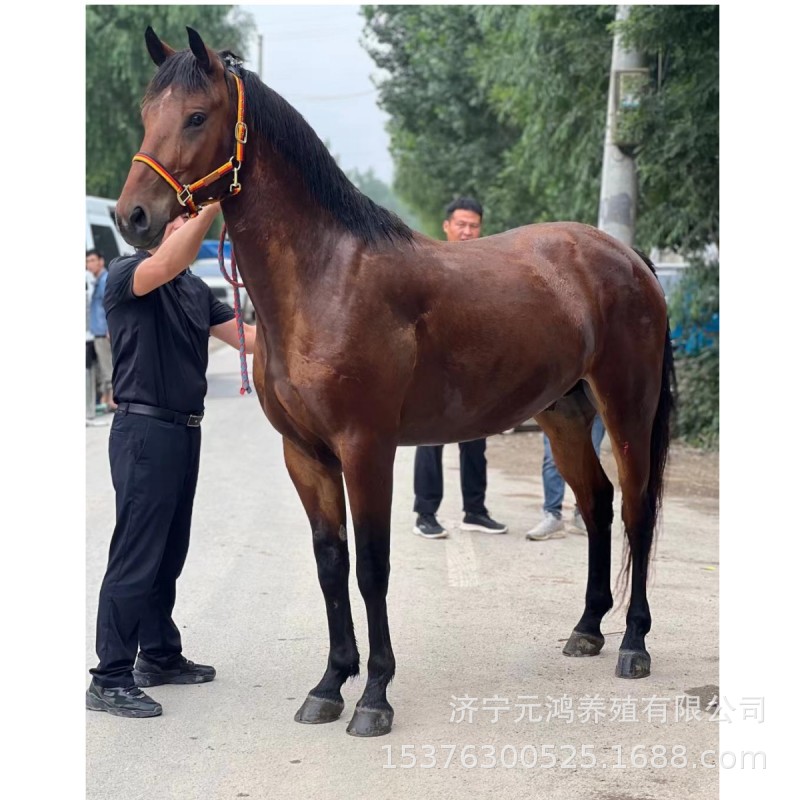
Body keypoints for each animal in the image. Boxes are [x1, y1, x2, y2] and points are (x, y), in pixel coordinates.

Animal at [114, 26, 676, 736]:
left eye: (195, 116)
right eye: (144, 114)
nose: (132, 217)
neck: (326, 278)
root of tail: (628, 257)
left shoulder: (367, 447)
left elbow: (372, 567)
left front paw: (375, 696)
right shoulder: (305, 454)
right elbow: (331, 566)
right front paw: (329, 685)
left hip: (627, 407)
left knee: (635, 509)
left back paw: (634, 643)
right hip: (564, 411)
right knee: (598, 504)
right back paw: (587, 629)